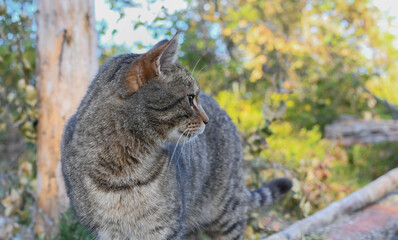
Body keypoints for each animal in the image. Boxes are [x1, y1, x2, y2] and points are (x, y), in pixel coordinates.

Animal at [62, 34, 292, 240]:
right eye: (190, 98)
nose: (207, 120)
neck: (122, 170)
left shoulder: (164, 228)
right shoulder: (109, 231)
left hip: (228, 212)